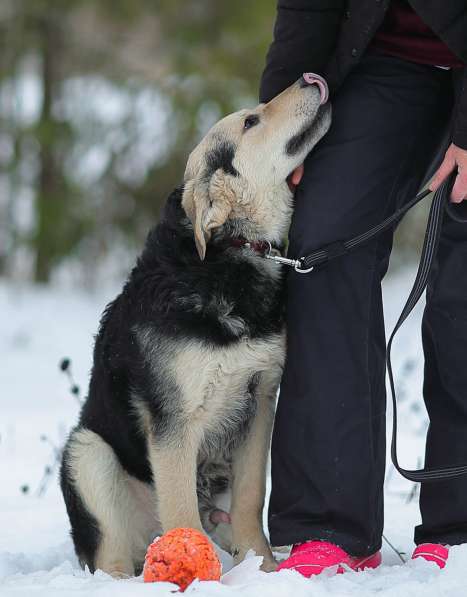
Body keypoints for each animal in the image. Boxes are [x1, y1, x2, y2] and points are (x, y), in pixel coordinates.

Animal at [60, 73, 332, 576]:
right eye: (251, 121)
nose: (311, 77)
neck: (230, 253)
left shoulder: (259, 399)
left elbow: (250, 497)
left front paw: (262, 566)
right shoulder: (173, 422)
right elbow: (181, 509)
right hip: (86, 453)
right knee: (112, 554)